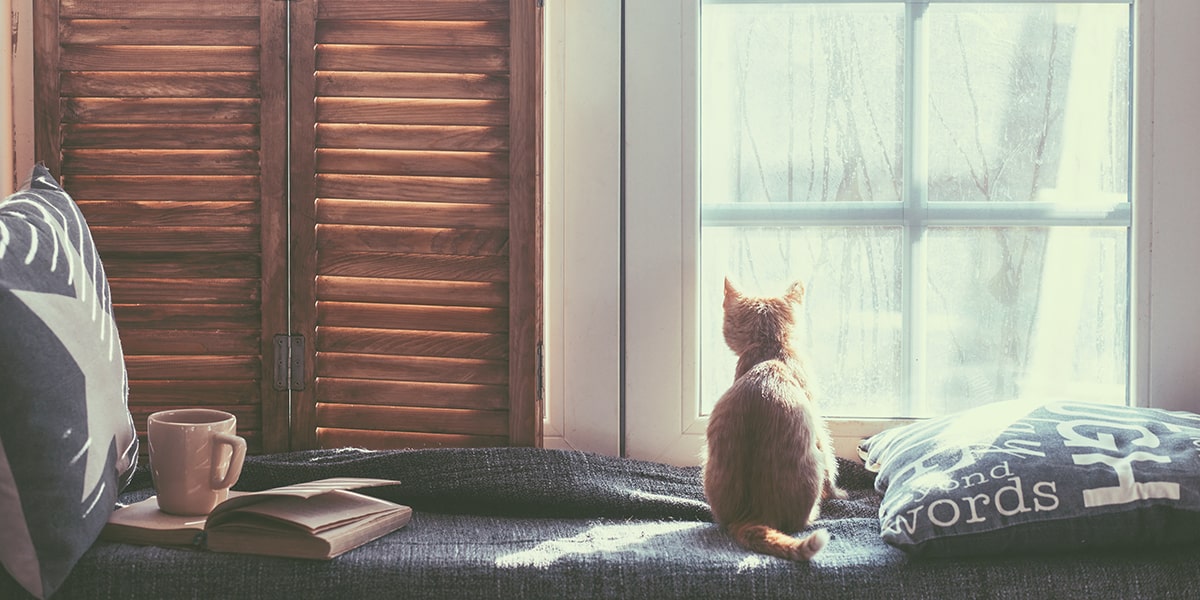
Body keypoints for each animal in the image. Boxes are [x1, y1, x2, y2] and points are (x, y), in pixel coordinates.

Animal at [700, 278, 844, 559]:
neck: (770, 350)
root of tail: (753, 515)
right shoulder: (817, 421)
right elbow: (831, 464)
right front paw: (838, 493)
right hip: (812, 464)